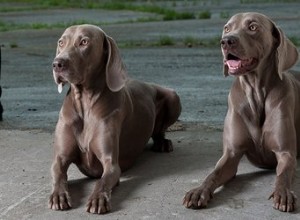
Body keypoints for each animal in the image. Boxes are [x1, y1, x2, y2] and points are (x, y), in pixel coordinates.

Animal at [48, 23, 180, 213]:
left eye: (84, 42)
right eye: (61, 42)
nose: (57, 63)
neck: (85, 103)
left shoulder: (111, 164)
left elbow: (102, 181)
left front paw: (98, 199)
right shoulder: (60, 158)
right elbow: (58, 173)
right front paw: (59, 195)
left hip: (173, 97)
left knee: (159, 131)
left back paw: (163, 143)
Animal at [184, 12, 298, 213]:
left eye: (252, 27)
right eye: (227, 28)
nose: (226, 41)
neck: (256, 93)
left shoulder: (286, 153)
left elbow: (283, 174)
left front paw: (283, 193)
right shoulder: (231, 154)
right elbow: (213, 174)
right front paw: (199, 191)